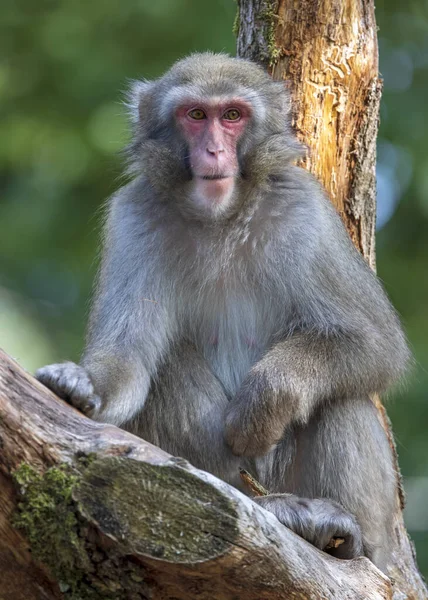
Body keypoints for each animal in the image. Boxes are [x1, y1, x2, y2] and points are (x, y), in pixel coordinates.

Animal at [35, 52, 410, 572]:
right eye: (196, 116)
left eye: (232, 116)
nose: (213, 152)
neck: (221, 219)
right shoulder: (135, 217)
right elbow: (128, 361)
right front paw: (83, 384)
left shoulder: (305, 210)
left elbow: (376, 343)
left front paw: (266, 398)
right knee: (168, 363)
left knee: (342, 397)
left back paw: (341, 532)